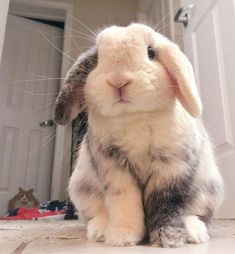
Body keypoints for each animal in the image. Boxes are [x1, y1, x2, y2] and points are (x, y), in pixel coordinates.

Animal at [53, 22, 224, 247]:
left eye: (151, 52)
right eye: (97, 58)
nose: (118, 80)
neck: (134, 116)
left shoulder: (173, 169)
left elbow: (166, 203)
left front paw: (168, 239)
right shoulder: (115, 170)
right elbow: (124, 202)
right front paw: (122, 237)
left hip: (208, 191)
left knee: (195, 214)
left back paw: (194, 233)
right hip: (82, 191)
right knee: (96, 215)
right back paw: (100, 231)